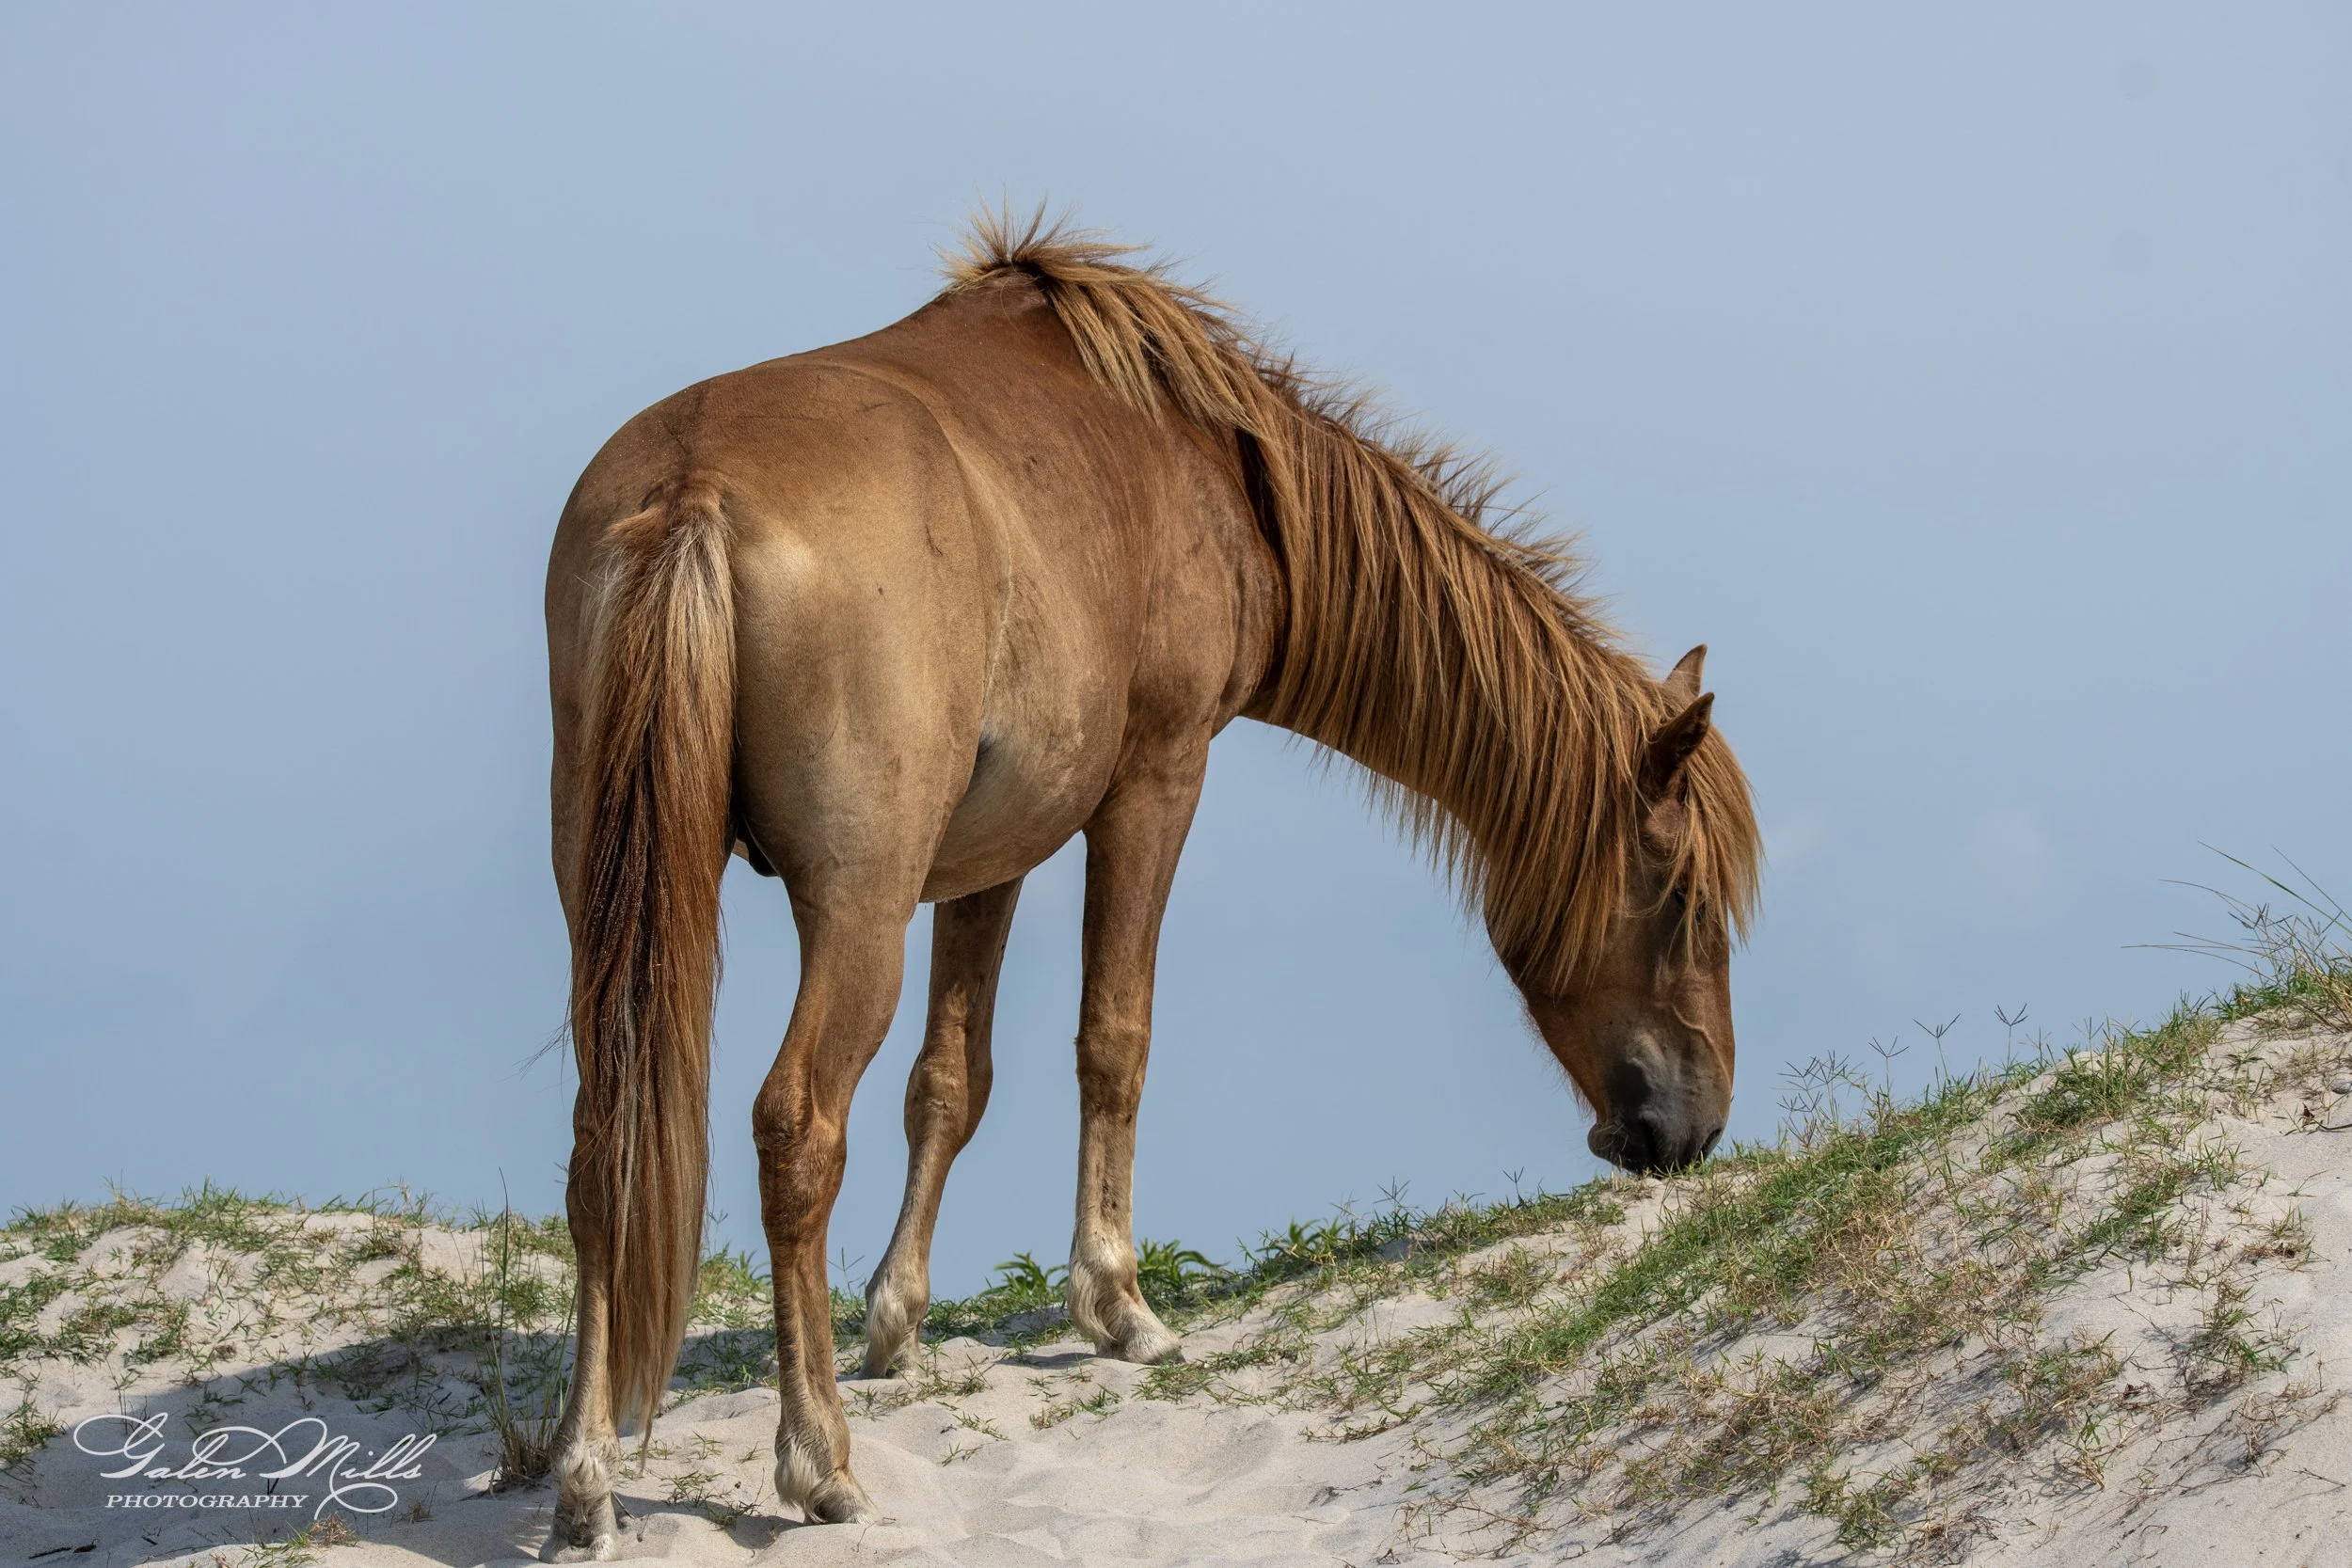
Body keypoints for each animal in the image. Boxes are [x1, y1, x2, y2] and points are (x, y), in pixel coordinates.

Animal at [538, 213, 1762, 1558]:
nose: (1692, 1123)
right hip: (857, 909)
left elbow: (949, 1080)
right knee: (796, 1129)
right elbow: (1113, 1039)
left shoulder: (992, 852)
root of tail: (692, 490)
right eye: (1679, 898)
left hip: (616, 906)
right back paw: (817, 1462)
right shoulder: (1156, 781)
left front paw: (896, 1321)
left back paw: (587, 1477)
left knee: (603, 1144)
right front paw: (1117, 1304)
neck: (1213, 464)